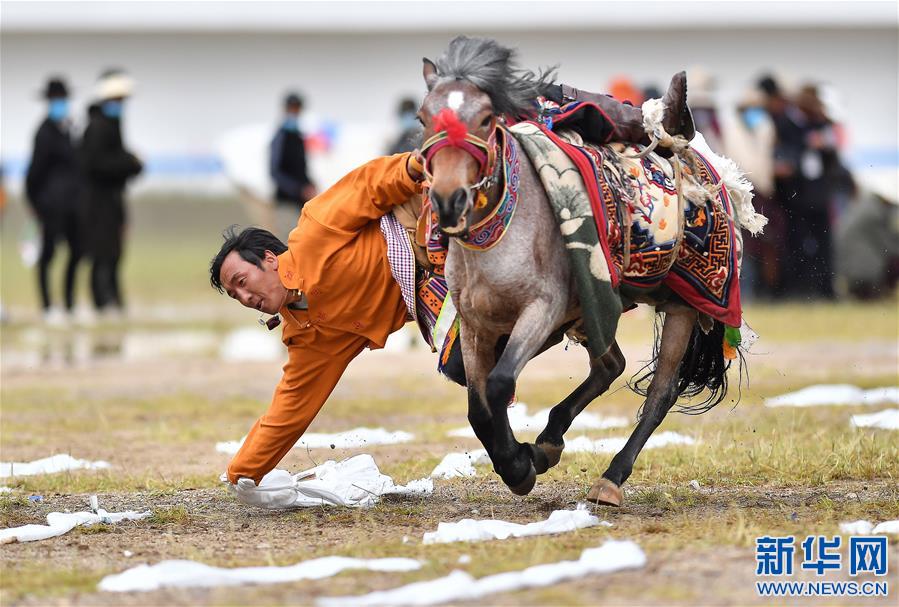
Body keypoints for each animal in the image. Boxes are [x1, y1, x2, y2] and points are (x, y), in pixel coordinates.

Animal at [418, 35, 756, 506]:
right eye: (423, 118)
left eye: (485, 119)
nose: (449, 200)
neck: (502, 233)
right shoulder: (475, 324)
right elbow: (479, 407)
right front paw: (524, 457)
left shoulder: (541, 309)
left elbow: (500, 384)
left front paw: (518, 467)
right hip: (592, 310)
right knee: (610, 364)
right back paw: (549, 441)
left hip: (682, 306)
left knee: (660, 392)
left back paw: (610, 479)